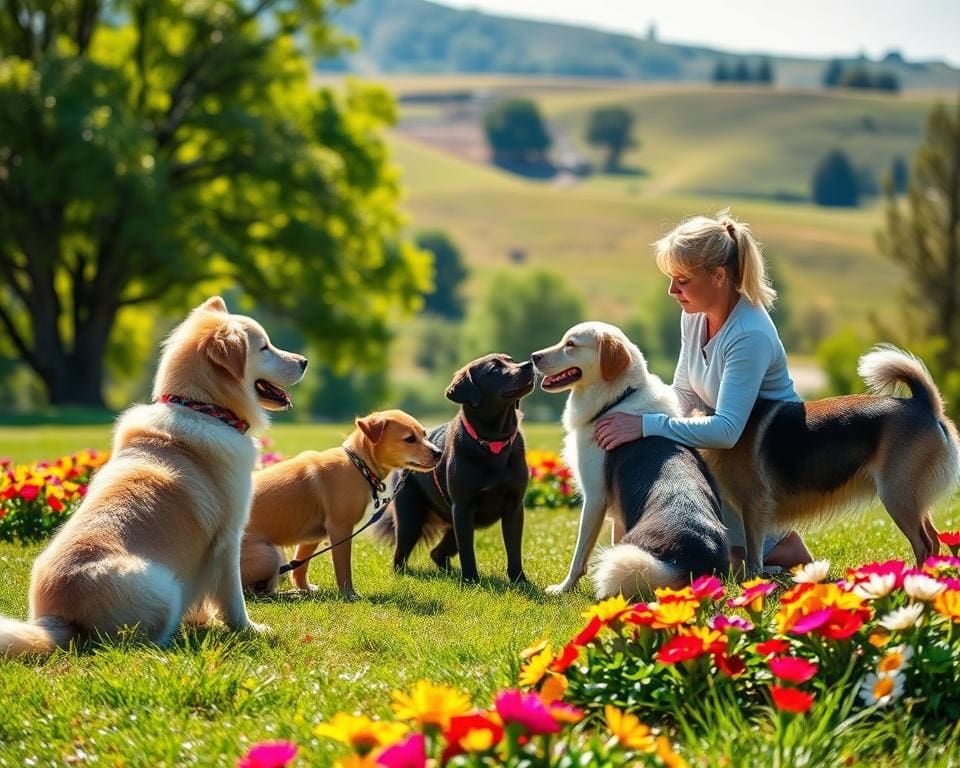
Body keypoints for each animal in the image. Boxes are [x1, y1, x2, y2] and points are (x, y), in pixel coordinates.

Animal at [0, 296, 308, 656]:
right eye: (264, 347)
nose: (304, 361)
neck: (202, 408)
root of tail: (60, 619)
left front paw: (207, 621)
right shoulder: (227, 539)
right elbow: (233, 597)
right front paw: (248, 630)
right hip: (165, 588)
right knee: (145, 642)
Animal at [240, 412, 442, 596]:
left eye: (424, 434)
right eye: (410, 439)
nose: (439, 453)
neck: (358, 465)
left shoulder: (311, 537)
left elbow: (300, 565)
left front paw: (304, 589)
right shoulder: (340, 529)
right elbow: (343, 568)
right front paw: (349, 594)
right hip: (270, 555)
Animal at [532, 320, 728, 596]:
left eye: (570, 344)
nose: (533, 357)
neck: (616, 400)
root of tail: (696, 559)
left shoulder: (595, 498)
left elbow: (579, 556)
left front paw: (564, 588)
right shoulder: (617, 511)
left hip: (628, 558)